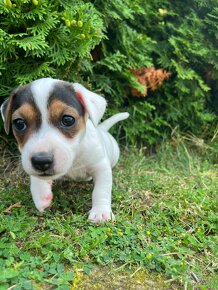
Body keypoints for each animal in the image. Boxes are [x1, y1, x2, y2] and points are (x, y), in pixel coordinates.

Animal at [0, 77, 129, 222]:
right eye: (19, 123)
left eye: (68, 120)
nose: (41, 161)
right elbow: (36, 178)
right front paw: (41, 194)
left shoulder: (101, 166)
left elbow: (101, 190)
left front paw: (100, 212)